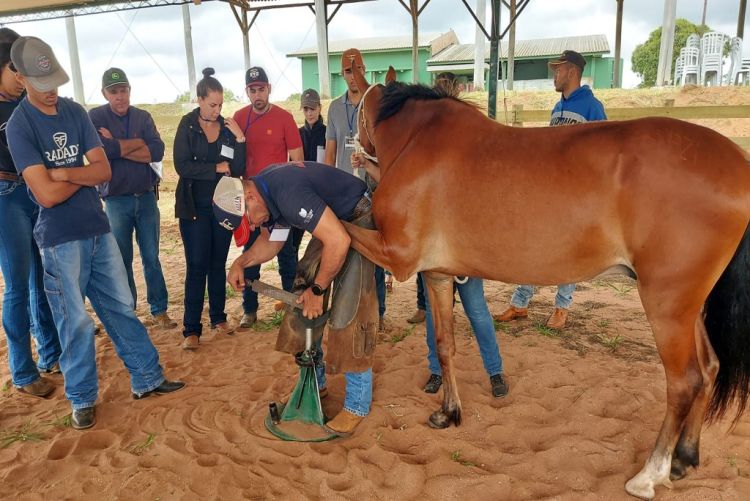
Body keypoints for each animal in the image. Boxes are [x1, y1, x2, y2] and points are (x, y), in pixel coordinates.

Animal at [346, 67, 750, 500]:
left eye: (356, 106)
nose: (355, 150)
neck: (418, 140)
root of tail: (739, 165)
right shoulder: (437, 274)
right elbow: (445, 345)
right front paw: (448, 411)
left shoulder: (395, 255)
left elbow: (343, 230)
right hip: (689, 307)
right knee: (709, 368)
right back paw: (684, 459)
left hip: (667, 305)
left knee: (684, 381)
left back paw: (649, 474)